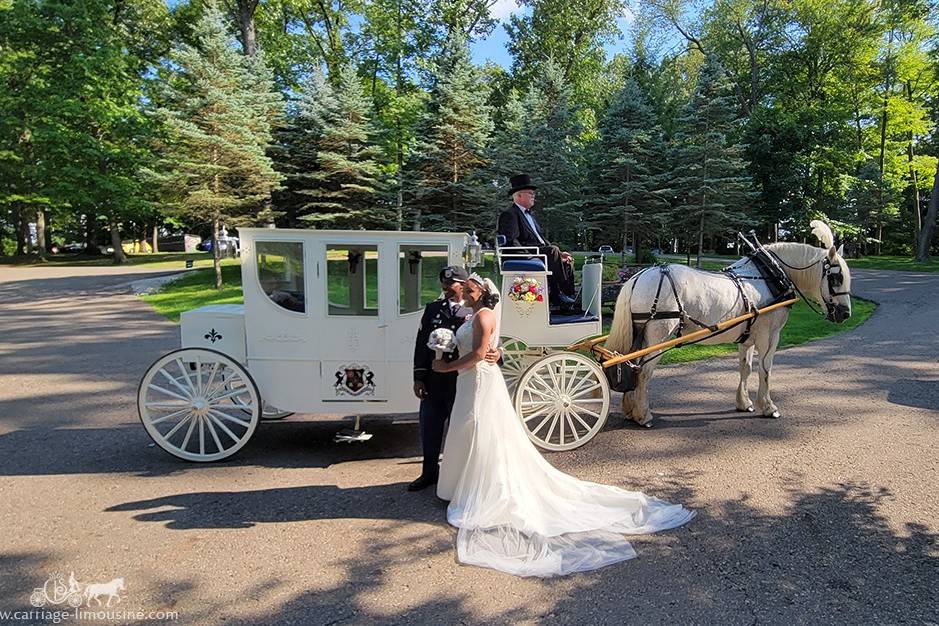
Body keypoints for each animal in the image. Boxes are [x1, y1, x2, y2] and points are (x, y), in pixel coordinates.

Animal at [604, 217, 856, 426]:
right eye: (836, 277)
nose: (845, 313)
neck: (769, 274)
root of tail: (638, 277)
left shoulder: (748, 338)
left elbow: (746, 368)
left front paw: (744, 403)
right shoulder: (769, 336)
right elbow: (766, 369)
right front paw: (769, 407)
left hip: (640, 334)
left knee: (632, 366)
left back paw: (630, 409)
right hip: (658, 336)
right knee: (644, 372)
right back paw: (643, 415)